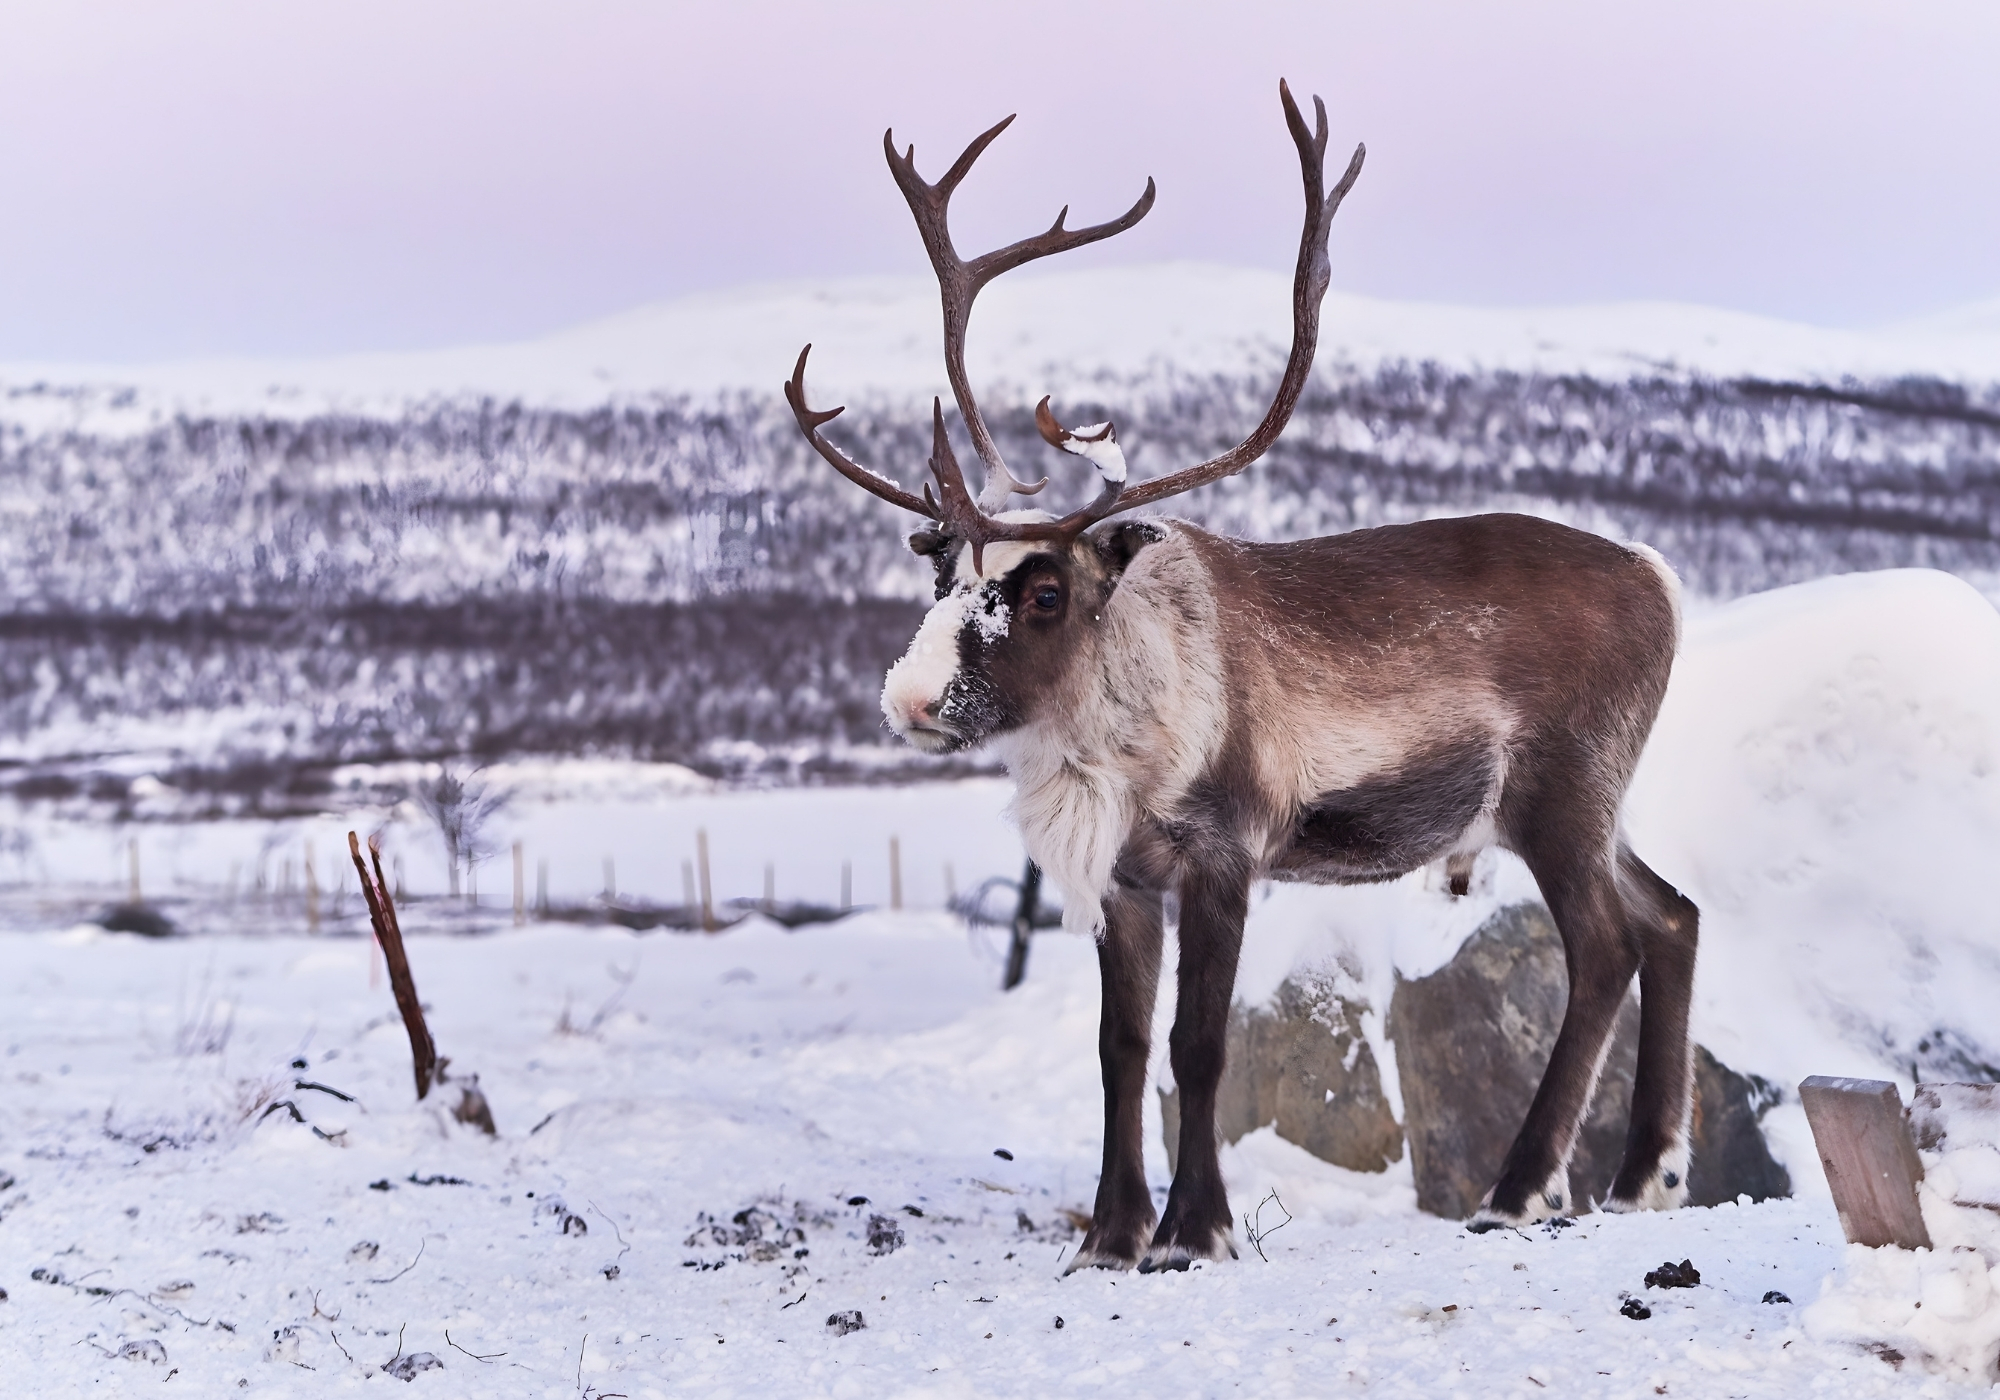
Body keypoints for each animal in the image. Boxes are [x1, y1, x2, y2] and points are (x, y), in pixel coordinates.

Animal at [782, 80, 1698, 1272]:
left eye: (1043, 590)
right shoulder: (1126, 883)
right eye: (945, 572)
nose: (909, 697)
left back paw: (1519, 1189)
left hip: (1560, 796)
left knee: (1606, 947)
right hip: (1595, 804)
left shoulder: (1225, 857)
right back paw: (1645, 1178)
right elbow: (1121, 1047)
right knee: (1674, 915)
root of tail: (1659, 574)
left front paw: (1193, 1230)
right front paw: (1110, 1234)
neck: (1117, 736)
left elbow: (1198, 1043)